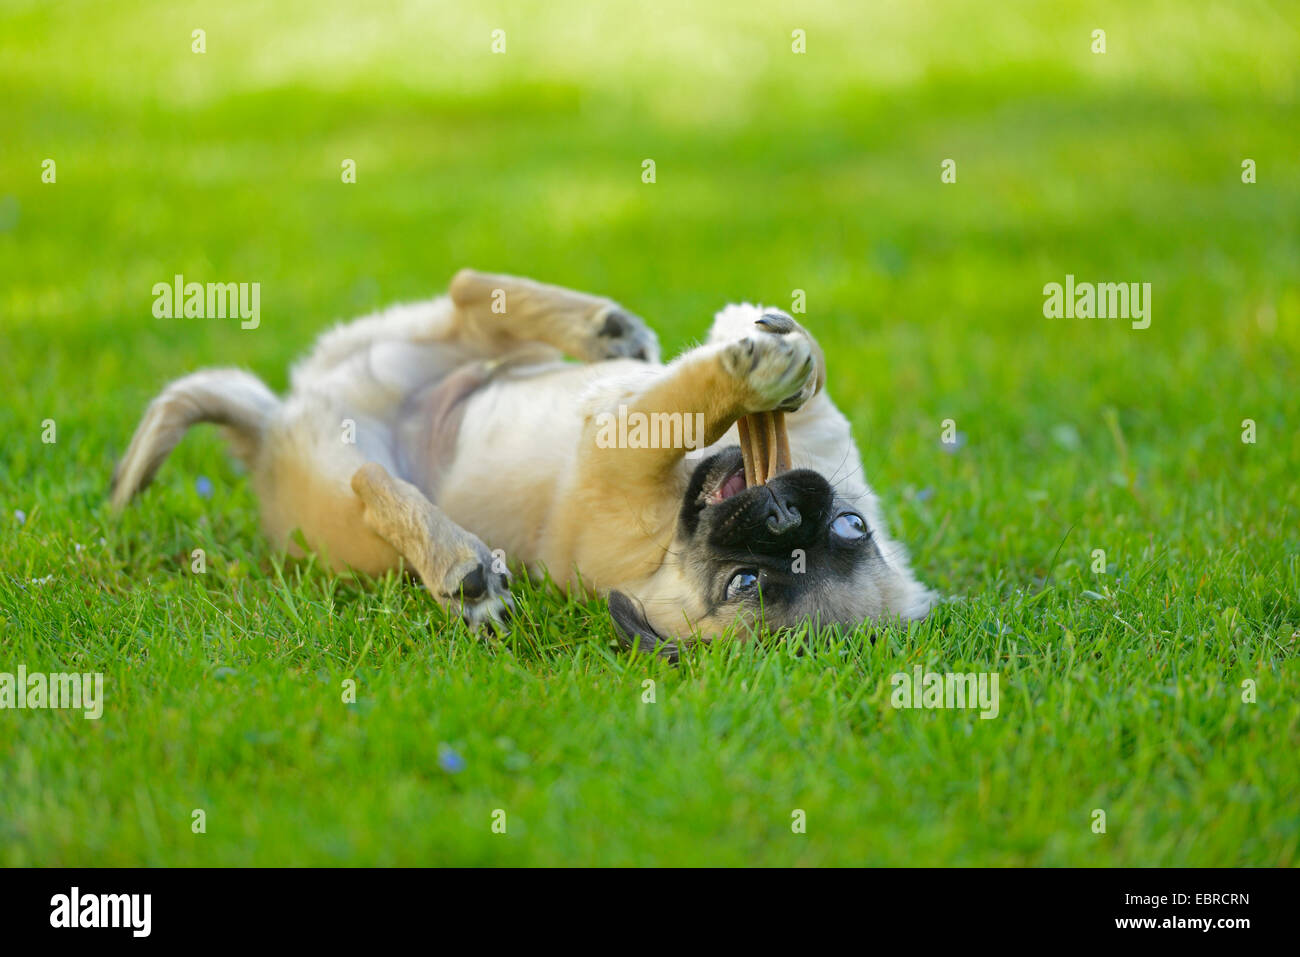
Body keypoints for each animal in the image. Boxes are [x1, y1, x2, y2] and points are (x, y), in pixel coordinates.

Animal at [109, 269, 925, 657]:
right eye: (852, 525)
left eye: (745, 585)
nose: (787, 509)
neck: (668, 537)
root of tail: (275, 424)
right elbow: (772, 378)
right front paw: (777, 354)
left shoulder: (618, 455)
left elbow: (679, 396)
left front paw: (754, 365)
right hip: (434, 348)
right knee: (467, 293)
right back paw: (606, 329)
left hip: (343, 511)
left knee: (371, 483)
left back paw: (460, 566)